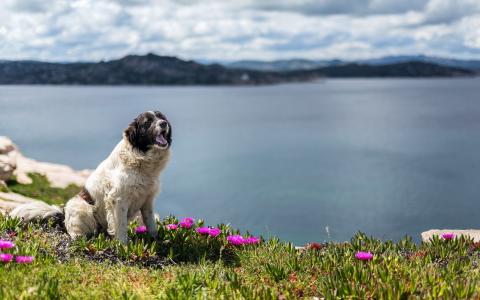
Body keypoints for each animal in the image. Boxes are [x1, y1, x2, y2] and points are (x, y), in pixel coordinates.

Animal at [9, 111, 172, 243]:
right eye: (148, 121)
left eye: (161, 117)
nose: (164, 123)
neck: (141, 160)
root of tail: (63, 215)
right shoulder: (118, 200)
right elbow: (121, 227)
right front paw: (123, 246)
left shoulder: (147, 200)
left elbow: (151, 224)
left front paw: (156, 241)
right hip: (80, 206)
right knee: (77, 233)